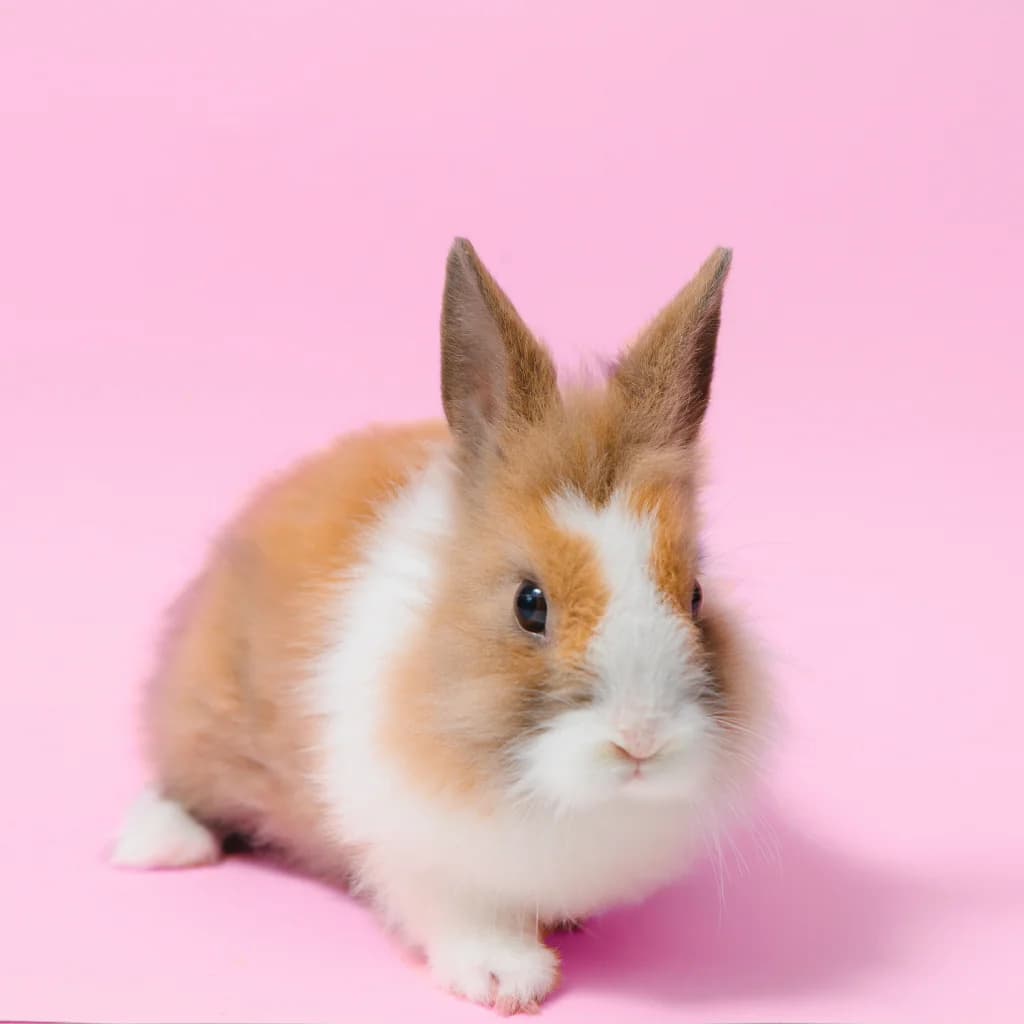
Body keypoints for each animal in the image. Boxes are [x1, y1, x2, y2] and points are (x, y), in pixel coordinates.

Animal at [113, 238, 768, 1014]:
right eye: (529, 603)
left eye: (695, 594)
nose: (641, 739)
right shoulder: (410, 849)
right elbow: (456, 909)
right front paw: (506, 979)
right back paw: (157, 844)